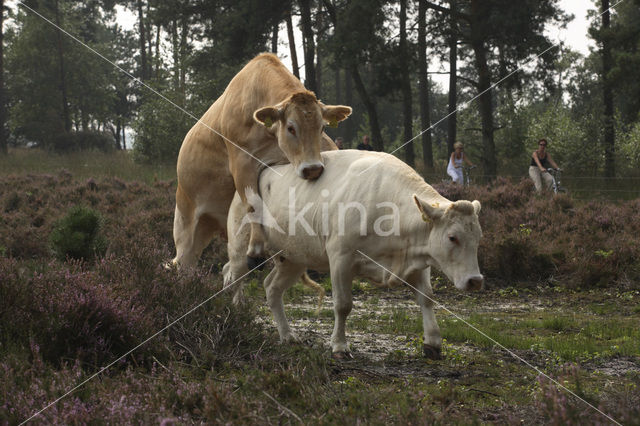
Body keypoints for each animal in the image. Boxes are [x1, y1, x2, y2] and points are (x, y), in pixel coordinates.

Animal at [171, 51, 350, 268]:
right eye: (291, 127)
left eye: (322, 127)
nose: (312, 169)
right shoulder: (242, 163)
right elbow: (253, 203)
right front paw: (255, 250)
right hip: (185, 227)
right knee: (184, 260)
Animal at [222, 150, 482, 360]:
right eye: (452, 237)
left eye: (478, 236)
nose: (475, 281)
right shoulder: (340, 257)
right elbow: (343, 304)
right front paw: (339, 346)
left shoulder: (418, 259)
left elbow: (426, 298)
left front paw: (433, 343)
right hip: (241, 248)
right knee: (231, 275)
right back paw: (233, 316)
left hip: (293, 258)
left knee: (272, 288)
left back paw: (287, 335)